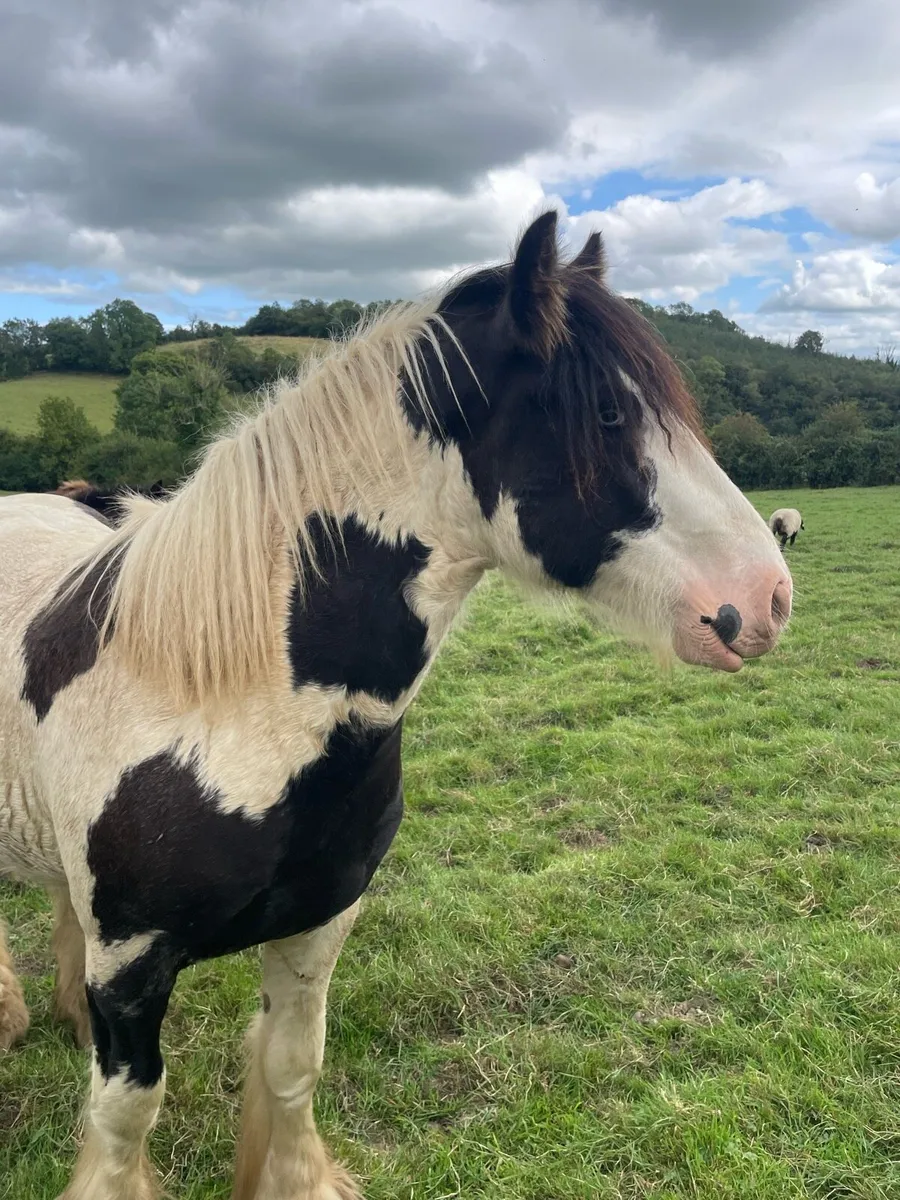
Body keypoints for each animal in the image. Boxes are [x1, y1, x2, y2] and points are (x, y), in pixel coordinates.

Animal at [0, 211, 792, 1200]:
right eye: (609, 415)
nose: (767, 597)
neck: (215, 702)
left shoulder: (318, 926)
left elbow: (291, 1069)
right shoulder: (132, 969)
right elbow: (124, 1117)